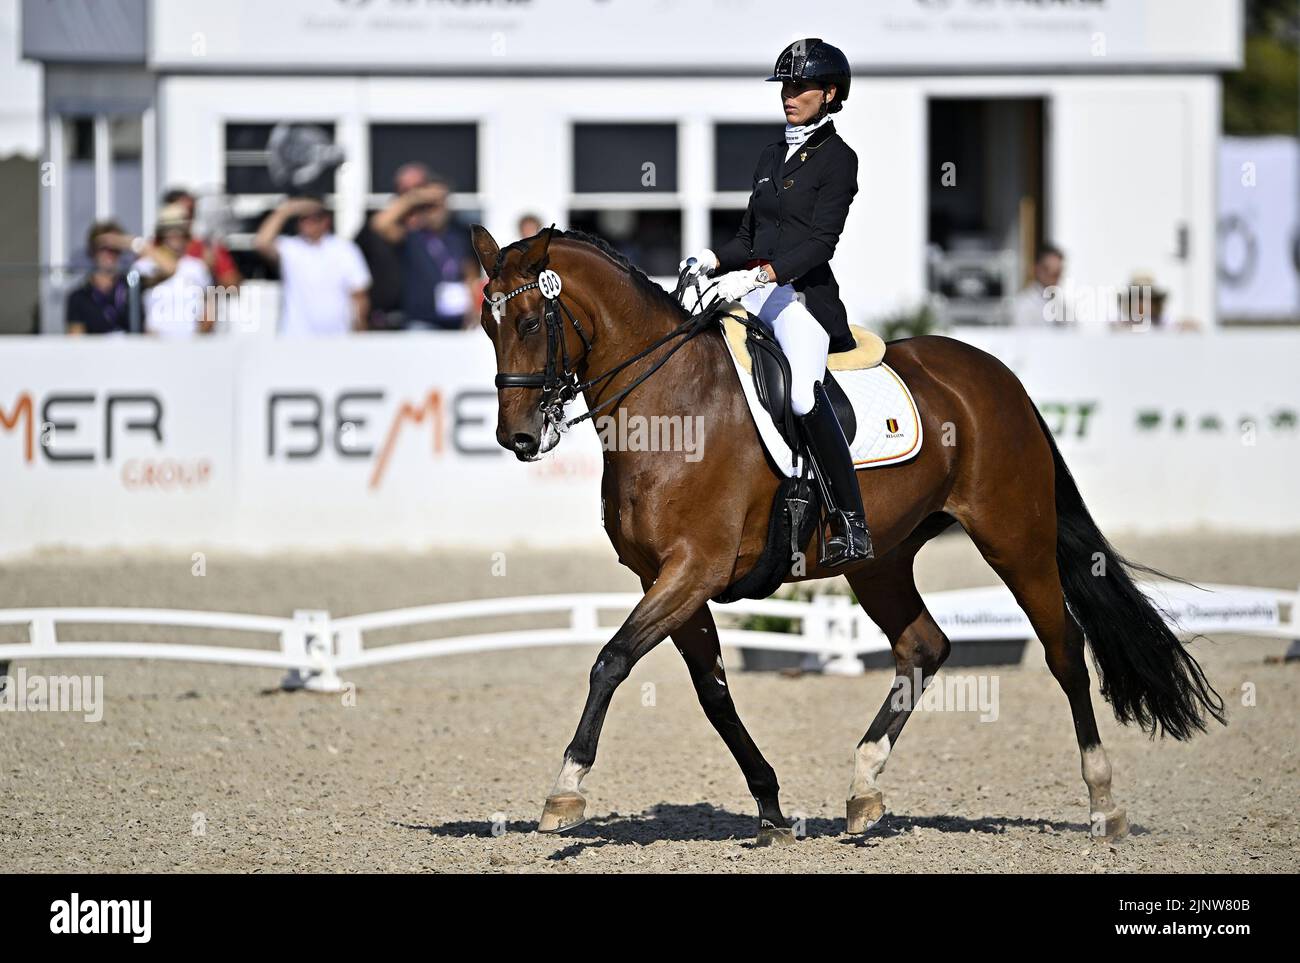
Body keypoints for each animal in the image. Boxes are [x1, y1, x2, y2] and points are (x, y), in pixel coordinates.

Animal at [473, 223, 1222, 842]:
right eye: (486, 321)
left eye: (533, 319)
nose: (517, 438)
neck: (670, 406)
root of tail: (997, 376)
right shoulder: (666, 577)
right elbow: (713, 692)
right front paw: (771, 806)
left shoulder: (694, 568)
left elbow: (612, 659)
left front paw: (565, 790)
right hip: (880, 560)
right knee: (924, 646)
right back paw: (864, 790)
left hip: (1015, 538)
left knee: (1063, 649)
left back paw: (1103, 803)